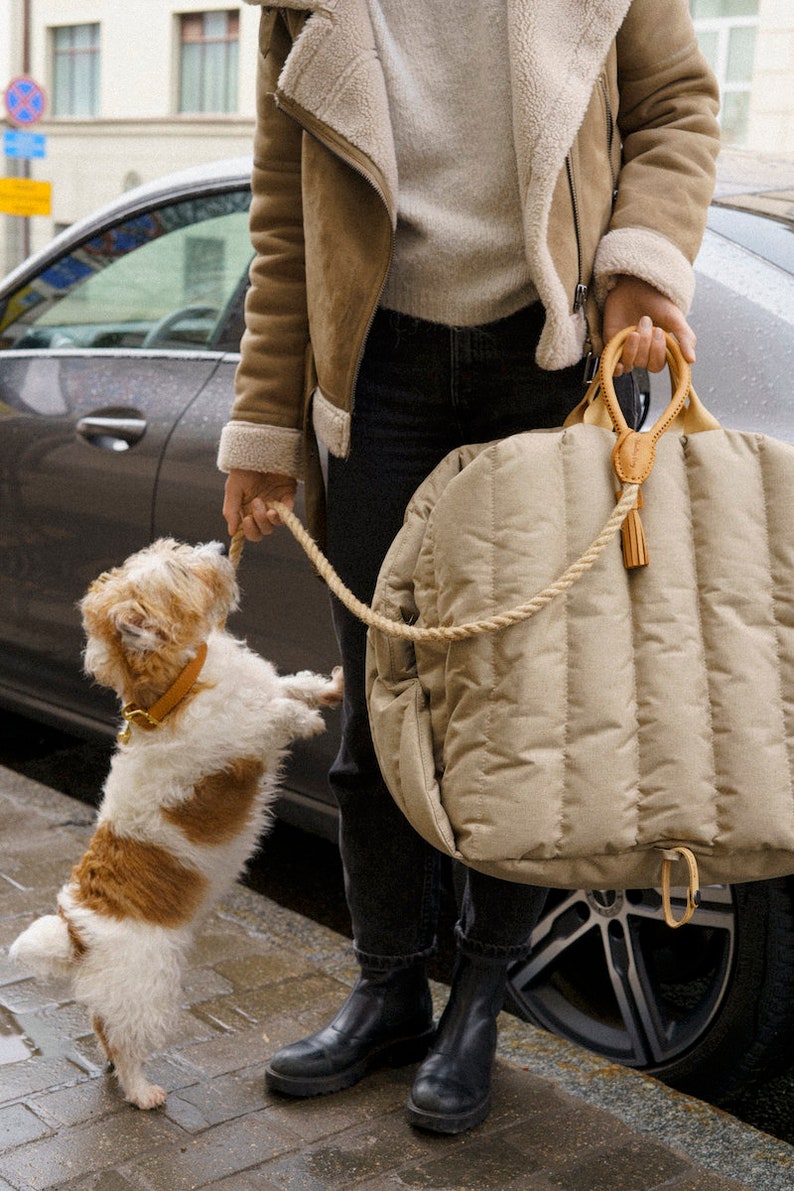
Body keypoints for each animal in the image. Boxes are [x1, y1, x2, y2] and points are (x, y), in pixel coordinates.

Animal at [10, 535, 342, 1110]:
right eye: (177, 571)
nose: (220, 546)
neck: (180, 686)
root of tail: (77, 933)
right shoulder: (237, 738)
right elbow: (267, 715)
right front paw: (303, 718)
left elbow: (287, 686)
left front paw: (328, 688)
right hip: (149, 985)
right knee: (123, 1037)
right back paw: (140, 1090)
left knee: (103, 1024)